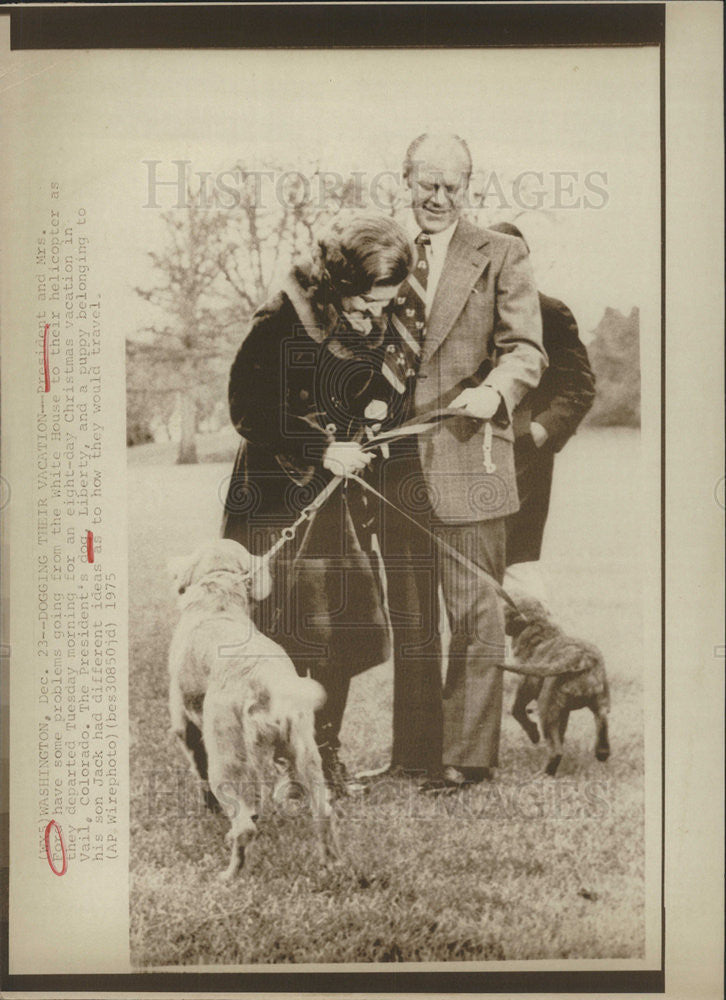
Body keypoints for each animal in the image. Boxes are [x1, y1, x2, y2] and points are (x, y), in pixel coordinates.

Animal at [169, 540, 340, 876]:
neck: (218, 597)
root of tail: (268, 679)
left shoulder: (185, 727)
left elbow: (200, 776)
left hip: (225, 760)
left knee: (245, 826)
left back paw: (229, 875)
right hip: (306, 755)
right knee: (323, 812)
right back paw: (330, 866)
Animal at [504, 596, 612, 776]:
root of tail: (580, 657)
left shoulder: (525, 688)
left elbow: (516, 710)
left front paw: (533, 734)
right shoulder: (563, 711)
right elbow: (561, 732)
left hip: (546, 708)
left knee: (556, 751)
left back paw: (545, 774)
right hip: (600, 702)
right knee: (602, 724)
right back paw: (601, 753)